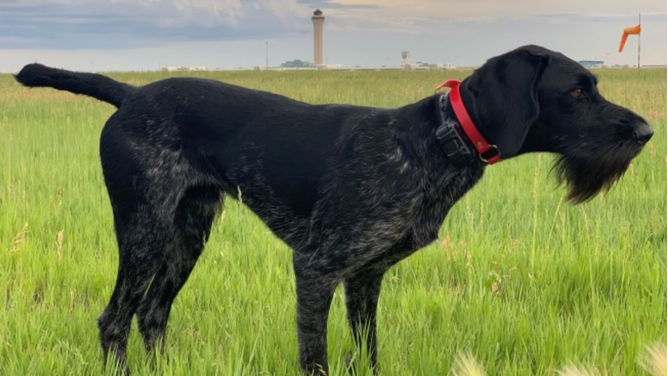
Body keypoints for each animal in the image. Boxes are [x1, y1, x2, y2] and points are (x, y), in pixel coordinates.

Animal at [14, 45, 652, 374]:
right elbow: (315, 354)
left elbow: (367, 352)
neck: (434, 144)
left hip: (188, 233)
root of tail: (131, 94)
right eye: (577, 91)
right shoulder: (317, 268)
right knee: (114, 319)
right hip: (144, 228)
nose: (647, 132)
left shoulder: (365, 278)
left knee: (151, 314)